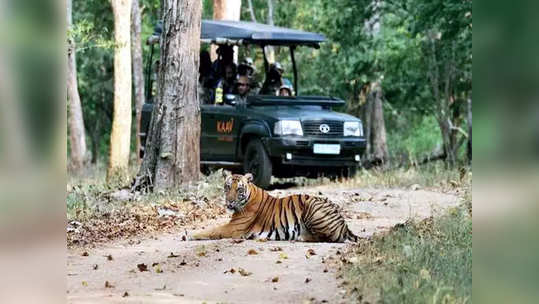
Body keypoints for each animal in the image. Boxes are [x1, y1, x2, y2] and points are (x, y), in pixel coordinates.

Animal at [192, 171, 360, 242]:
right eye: (227, 187)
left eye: (239, 189)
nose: (229, 203)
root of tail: (344, 224)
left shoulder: (233, 228)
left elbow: (211, 230)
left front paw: (190, 234)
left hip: (313, 207)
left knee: (330, 238)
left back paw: (301, 237)